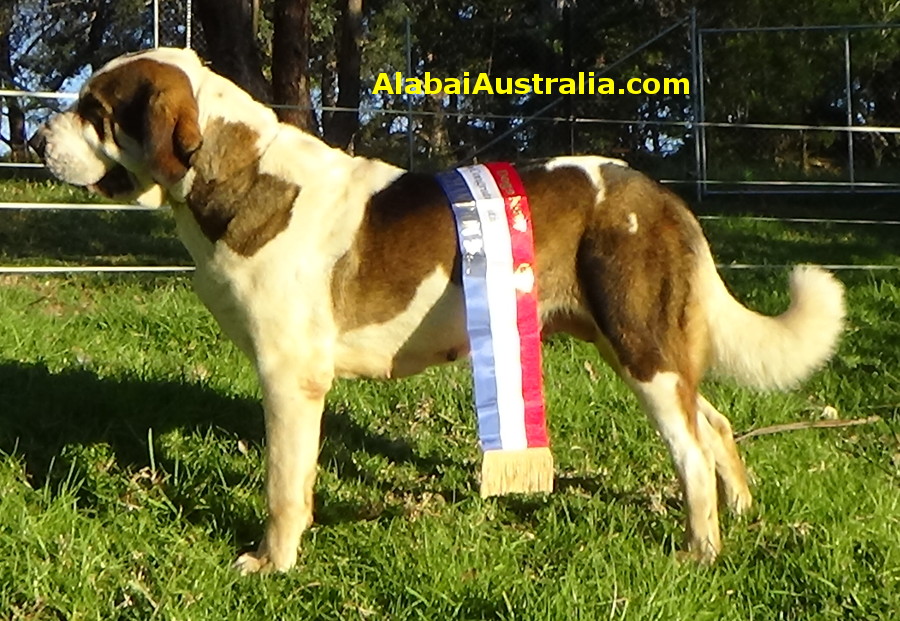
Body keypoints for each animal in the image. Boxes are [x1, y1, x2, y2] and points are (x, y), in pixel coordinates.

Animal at [29, 48, 844, 572]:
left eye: (94, 109)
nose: (34, 139)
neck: (241, 175)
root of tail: (662, 193)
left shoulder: (291, 381)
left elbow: (284, 487)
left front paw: (272, 563)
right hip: (635, 344)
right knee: (714, 422)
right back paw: (742, 513)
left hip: (638, 343)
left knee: (690, 451)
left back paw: (701, 550)